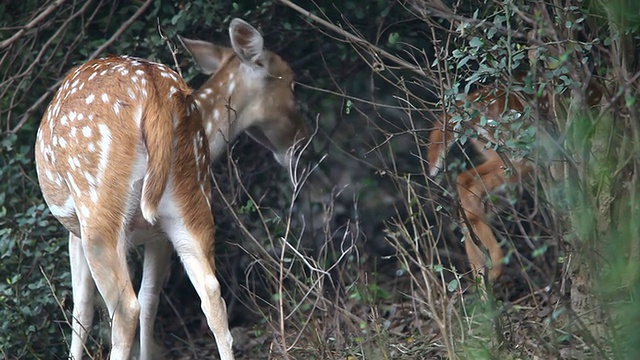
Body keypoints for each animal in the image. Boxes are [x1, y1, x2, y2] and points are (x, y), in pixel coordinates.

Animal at [33, 18, 308, 358]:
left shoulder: (76, 232)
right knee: (210, 292)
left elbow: (82, 307)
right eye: (292, 83)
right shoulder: (157, 236)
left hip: (95, 204)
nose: (302, 139)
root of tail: (154, 95)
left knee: (125, 307)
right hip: (189, 200)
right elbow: (150, 297)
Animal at [428, 72, 604, 282]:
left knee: (463, 181)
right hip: (519, 151)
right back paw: (494, 264)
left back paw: (480, 271)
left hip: (495, 152)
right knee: (472, 186)